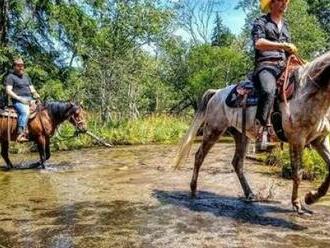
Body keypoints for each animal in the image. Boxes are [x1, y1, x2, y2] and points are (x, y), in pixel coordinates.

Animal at [175, 51, 330, 214]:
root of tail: (217, 93)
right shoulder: (297, 140)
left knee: (237, 163)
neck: (307, 91)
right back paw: (193, 189)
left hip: (241, 135)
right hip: (213, 130)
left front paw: (311, 197)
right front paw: (297, 203)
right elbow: (297, 173)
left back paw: (249, 194)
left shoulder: (319, 140)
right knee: (199, 156)